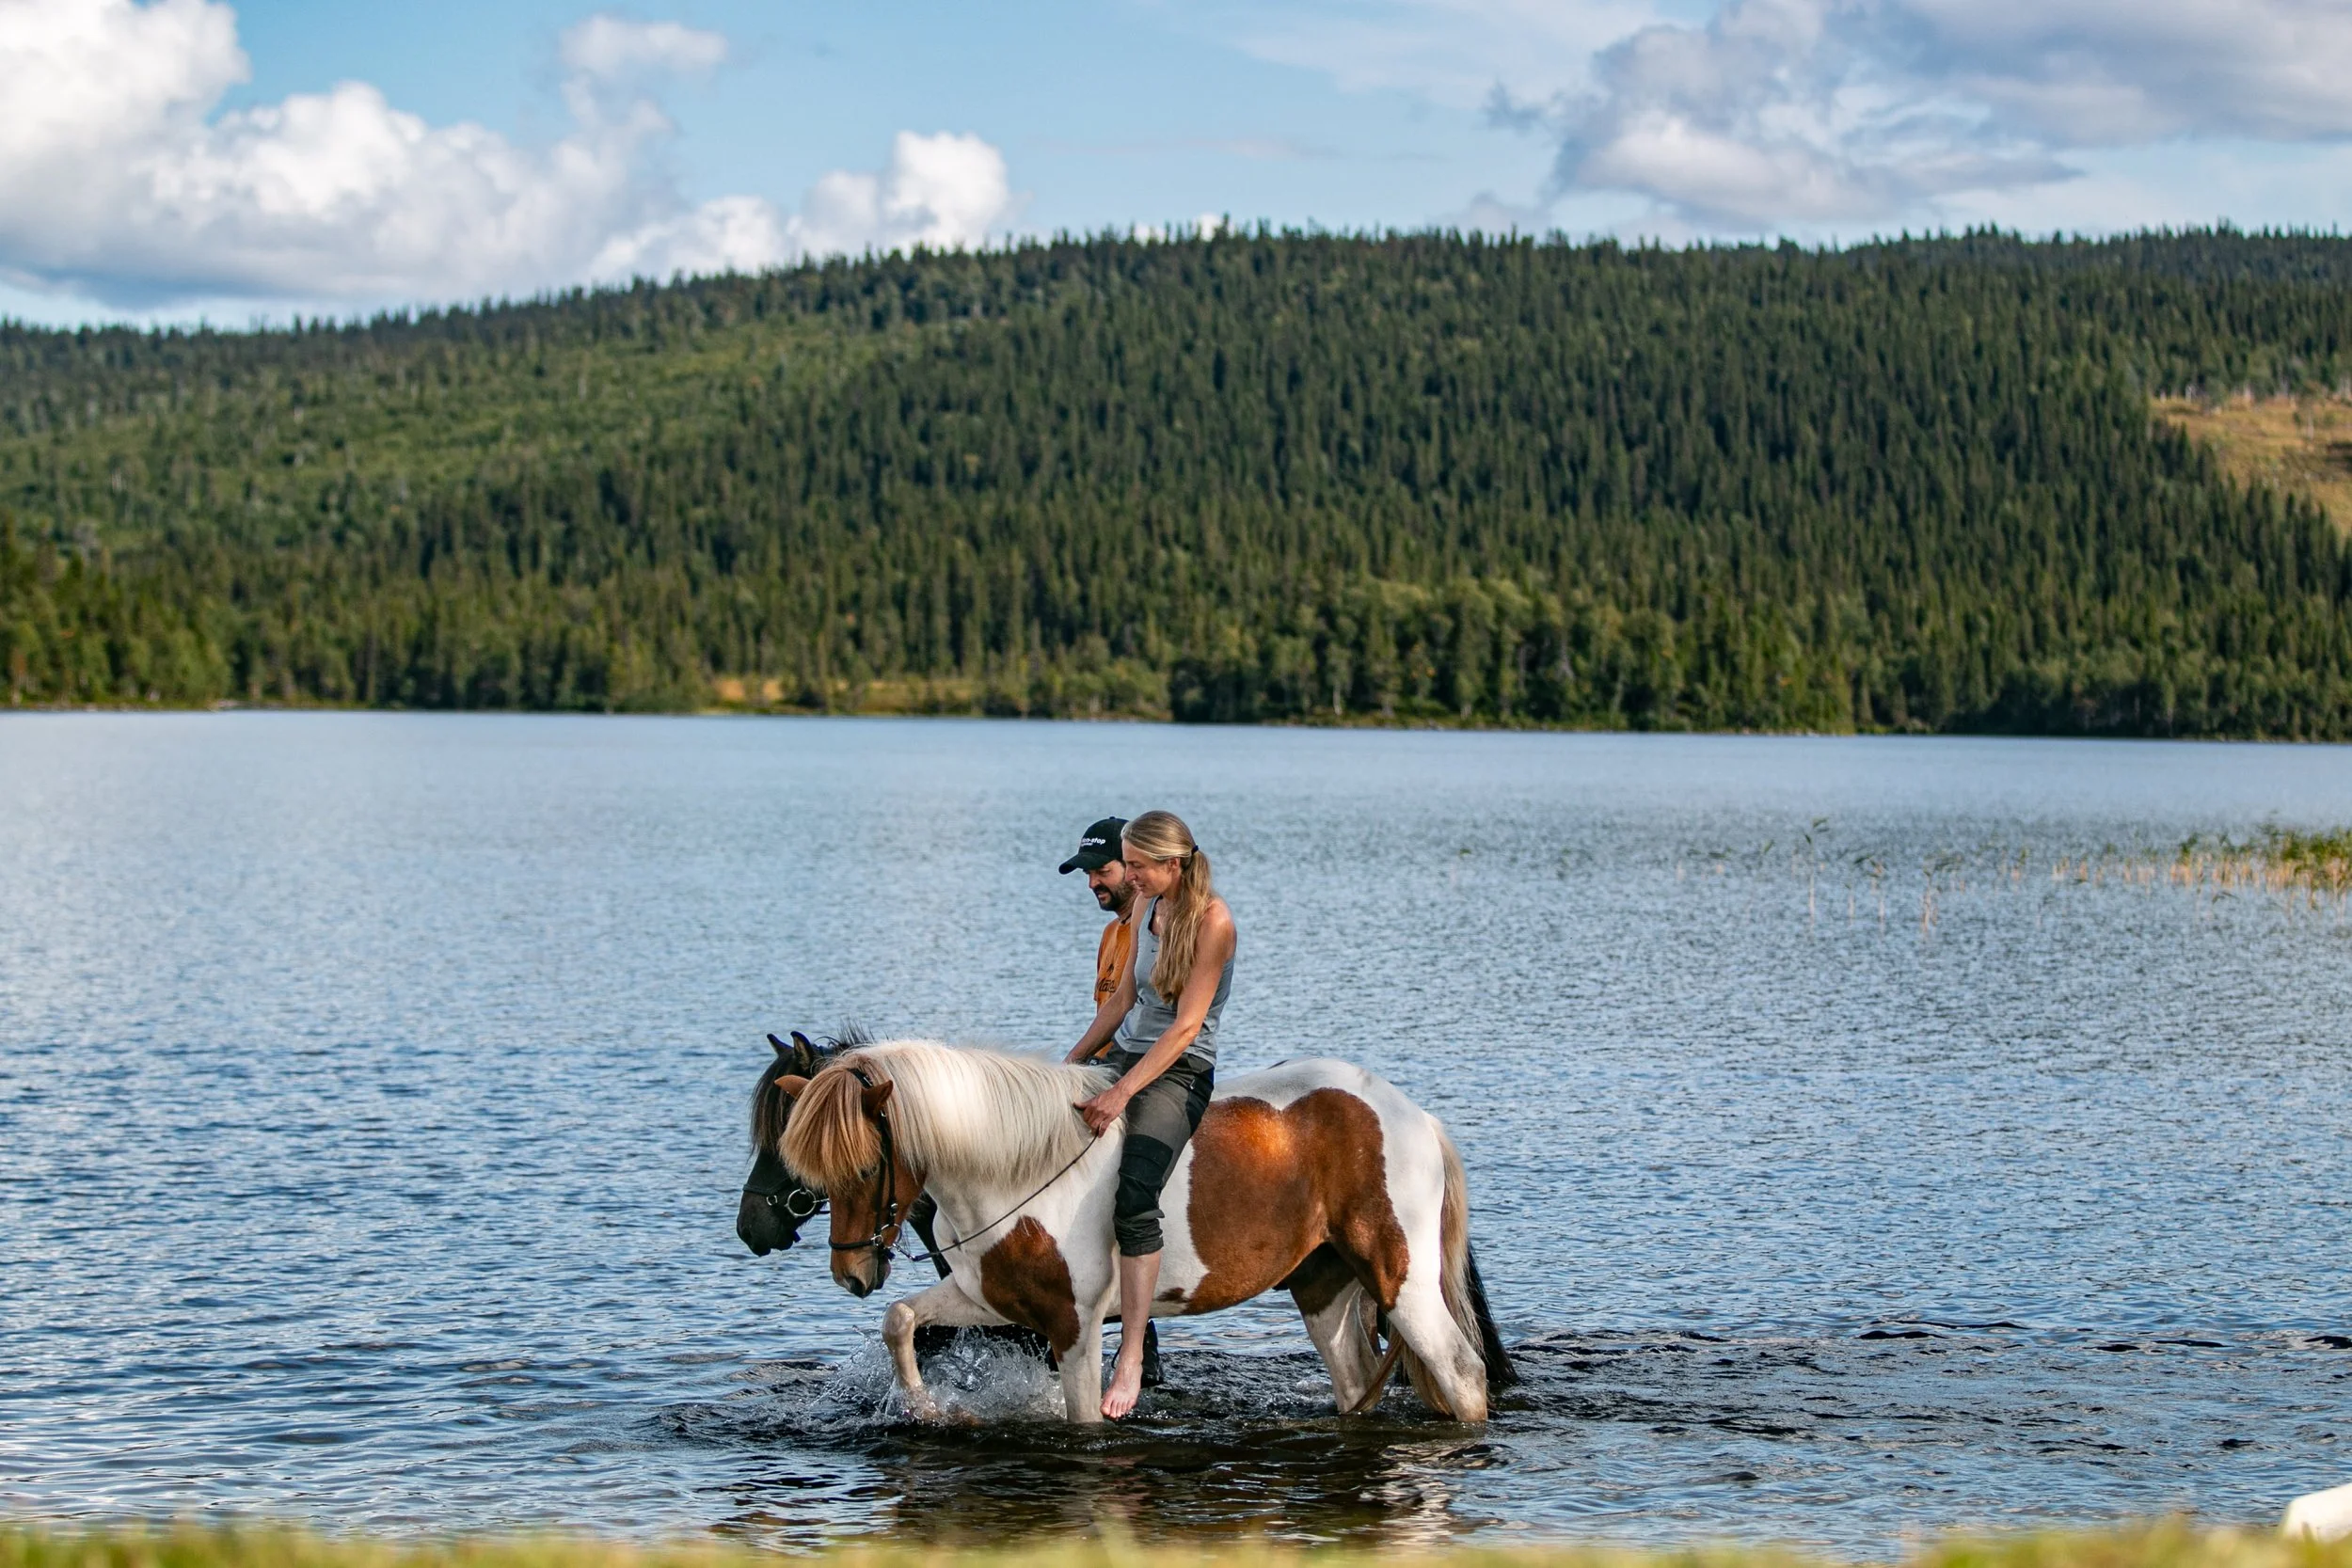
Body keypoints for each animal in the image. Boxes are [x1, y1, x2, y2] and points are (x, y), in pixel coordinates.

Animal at [771, 1038, 1515, 1425]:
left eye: (867, 1166)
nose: (851, 1273)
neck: (1017, 1167)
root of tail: (1414, 1115)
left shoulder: (1074, 1324)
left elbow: (1082, 1419)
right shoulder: (991, 1297)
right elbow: (900, 1320)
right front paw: (929, 1410)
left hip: (1401, 1278)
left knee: (1460, 1371)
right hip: (1325, 1284)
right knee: (1356, 1379)